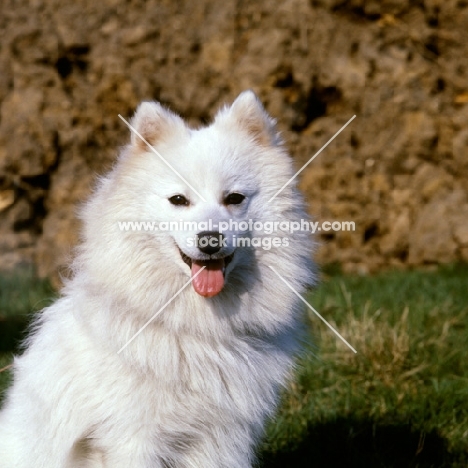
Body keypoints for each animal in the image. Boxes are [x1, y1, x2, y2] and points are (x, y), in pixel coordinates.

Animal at [0, 89, 314, 466]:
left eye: (234, 199)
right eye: (178, 200)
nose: (210, 240)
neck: (196, 331)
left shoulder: (223, 439)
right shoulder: (133, 439)